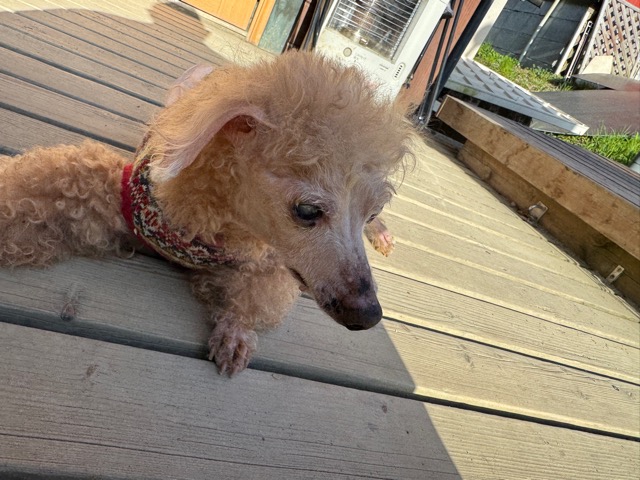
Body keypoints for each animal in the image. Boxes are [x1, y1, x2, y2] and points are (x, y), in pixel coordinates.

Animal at [0, 51, 411, 375]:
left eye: (370, 212)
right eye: (308, 210)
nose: (368, 315)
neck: (219, 218)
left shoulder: (269, 259)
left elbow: (255, 297)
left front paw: (236, 333)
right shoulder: (118, 193)